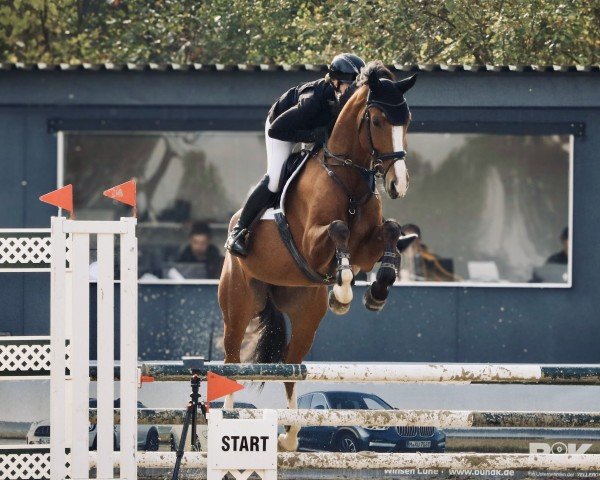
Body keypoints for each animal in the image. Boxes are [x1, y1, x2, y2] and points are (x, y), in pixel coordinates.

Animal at [217, 62, 418, 450]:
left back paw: (290, 436)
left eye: (408, 120)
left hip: (306, 312)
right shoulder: (312, 244)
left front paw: (377, 290)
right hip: (238, 303)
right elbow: (338, 230)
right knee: (231, 359)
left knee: (291, 366)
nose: (398, 185)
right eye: (377, 121)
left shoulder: (364, 248)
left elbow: (389, 230)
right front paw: (342, 290)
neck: (347, 177)